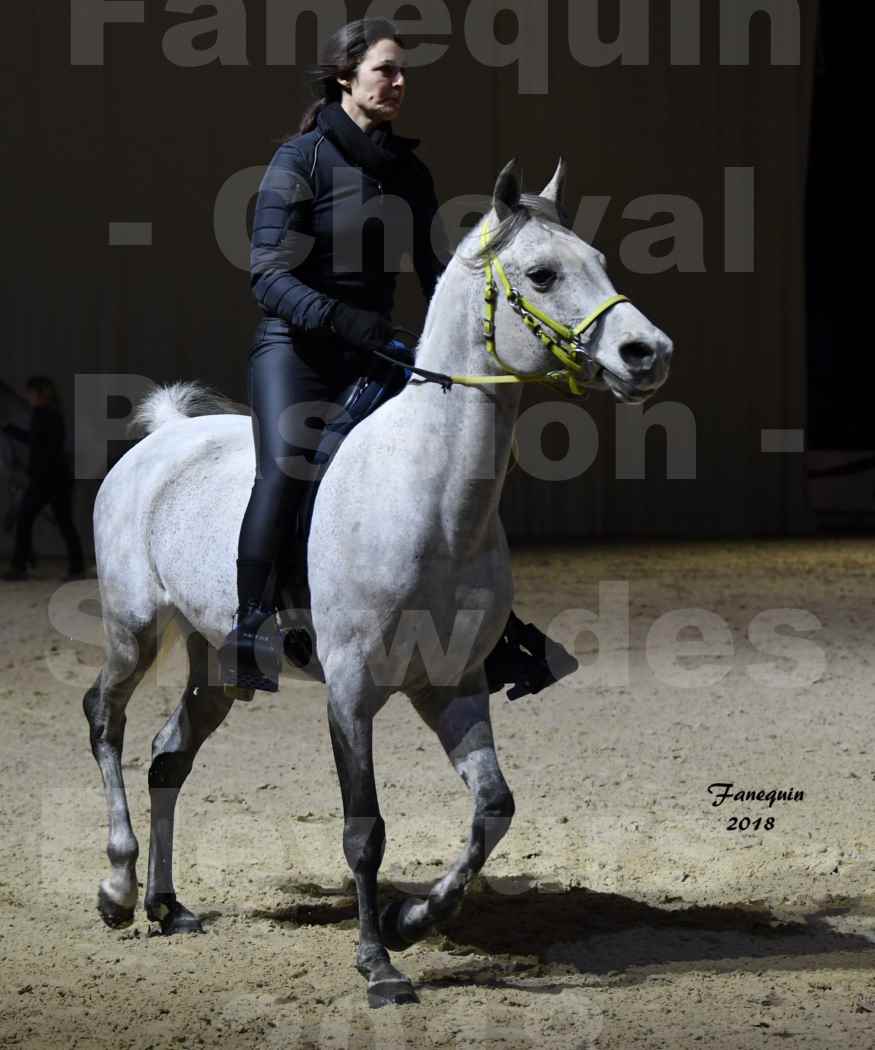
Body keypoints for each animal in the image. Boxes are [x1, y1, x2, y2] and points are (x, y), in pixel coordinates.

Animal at [82, 158, 673, 1008]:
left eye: (598, 260)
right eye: (542, 273)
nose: (647, 352)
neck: (432, 500)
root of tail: (164, 438)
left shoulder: (453, 685)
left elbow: (493, 808)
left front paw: (410, 921)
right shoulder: (352, 689)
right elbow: (364, 828)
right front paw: (378, 964)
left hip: (218, 660)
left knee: (168, 756)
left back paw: (168, 906)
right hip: (133, 629)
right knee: (106, 720)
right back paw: (118, 889)